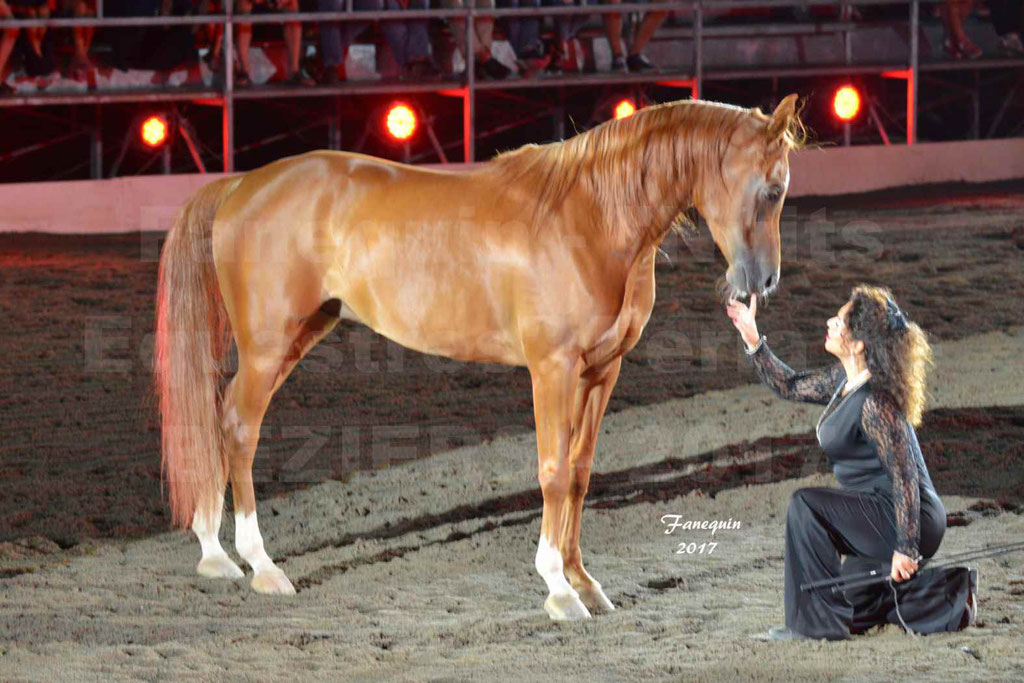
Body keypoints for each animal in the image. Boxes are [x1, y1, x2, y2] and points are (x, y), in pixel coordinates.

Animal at [155, 93, 802, 622]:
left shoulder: (601, 371)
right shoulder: (552, 370)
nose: (762, 284)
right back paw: (259, 564)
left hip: (299, 335)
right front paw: (557, 590)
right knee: (239, 428)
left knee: (221, 420)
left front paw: (584, 582)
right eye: (771, 189)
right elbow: (553, 472)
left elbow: (581, 473)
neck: (591, 220)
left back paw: (215, 552)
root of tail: (241, 185)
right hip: (267, 345)